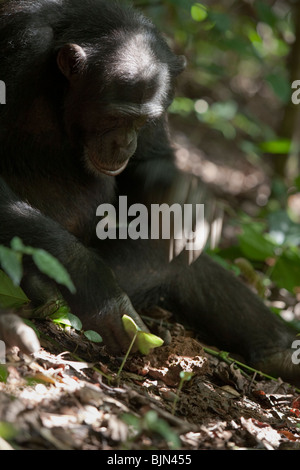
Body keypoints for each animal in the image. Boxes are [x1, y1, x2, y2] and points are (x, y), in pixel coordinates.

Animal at [0, 0, 300, 382]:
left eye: (143, 121)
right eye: (113, 117)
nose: (124, 143)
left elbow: (153, 162)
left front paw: (184, 195)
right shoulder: (19, 51)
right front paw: (100, 291)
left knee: (181, 260)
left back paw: (281, 353)